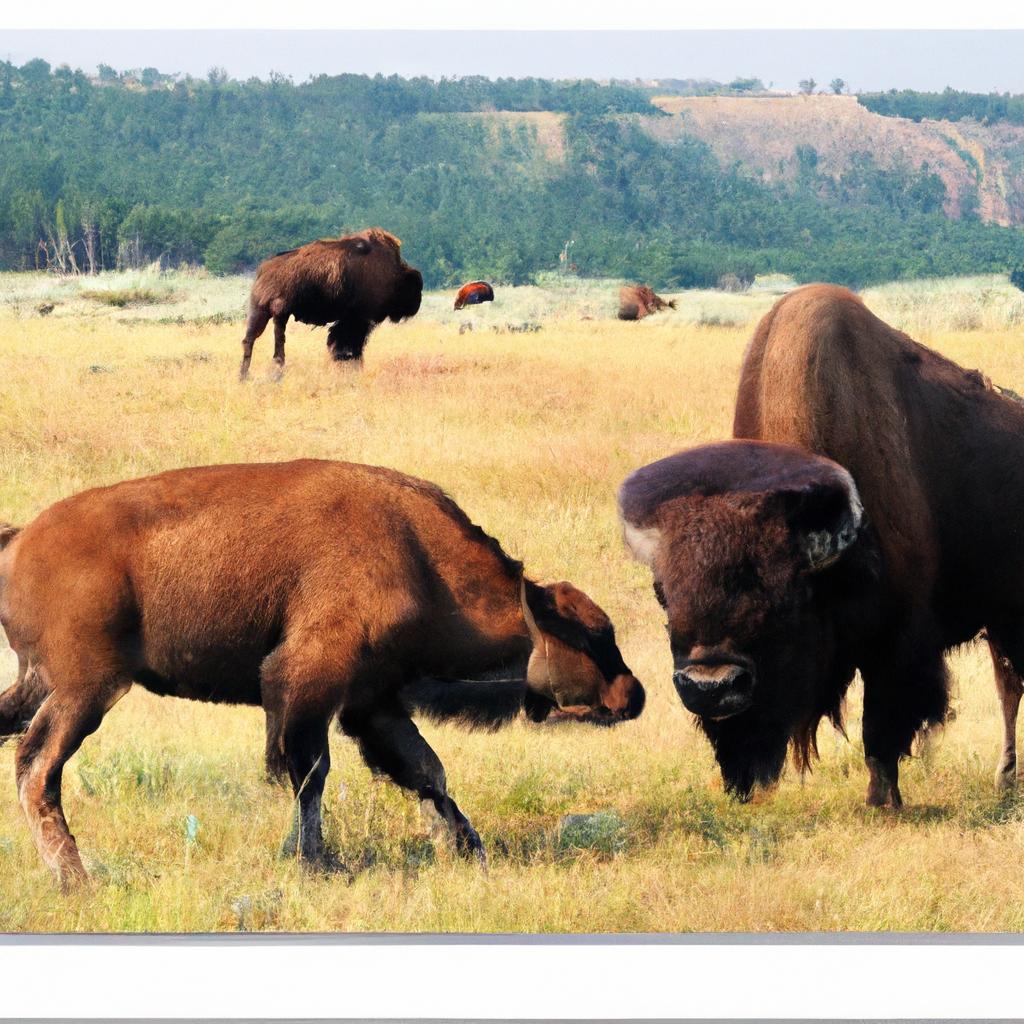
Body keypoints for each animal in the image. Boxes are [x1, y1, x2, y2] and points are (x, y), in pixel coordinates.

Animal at [0, 464, 638, 888]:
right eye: (591, 636)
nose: (632, 696)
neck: (417, 554)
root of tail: (23, 538)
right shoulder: (308, 687)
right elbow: (311, 775)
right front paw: (315, 864)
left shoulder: (371, 702)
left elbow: (427, 773)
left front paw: (469, 851)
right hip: (88, 689)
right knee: (37, 767)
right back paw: (77, 879)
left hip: (43, 684)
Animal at [237, 226, 421, 378]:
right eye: (414, 288)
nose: (416, 304)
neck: (394, 273)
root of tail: (264, 268)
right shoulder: (358, 320)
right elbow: (348, 346)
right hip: (273, 313)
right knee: (267, 343)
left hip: (266, 313)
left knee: (252, 340)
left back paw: (246, 376)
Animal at [618, 280, 1024, 806]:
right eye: (662, 595)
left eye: (780, 603)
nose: (711, 686)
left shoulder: (899, 638)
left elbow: (882, 726)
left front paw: (882, 800)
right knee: (1009, 683)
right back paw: (1004, 777)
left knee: (1010, 686)